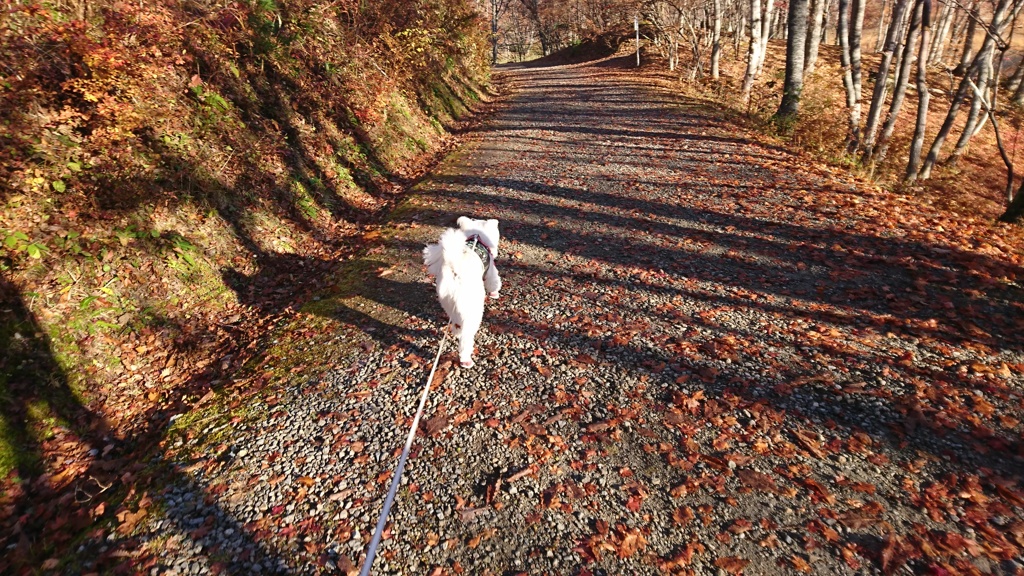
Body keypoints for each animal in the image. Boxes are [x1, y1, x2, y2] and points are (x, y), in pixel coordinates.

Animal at [421, 215, 501, 366]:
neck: (477, 236)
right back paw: (465, 359)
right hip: (472, 311)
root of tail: (455, 272)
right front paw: (495, 293)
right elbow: (494, 283)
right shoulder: (491, 271)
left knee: (456, 322)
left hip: (448, 302)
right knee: (466, 337)